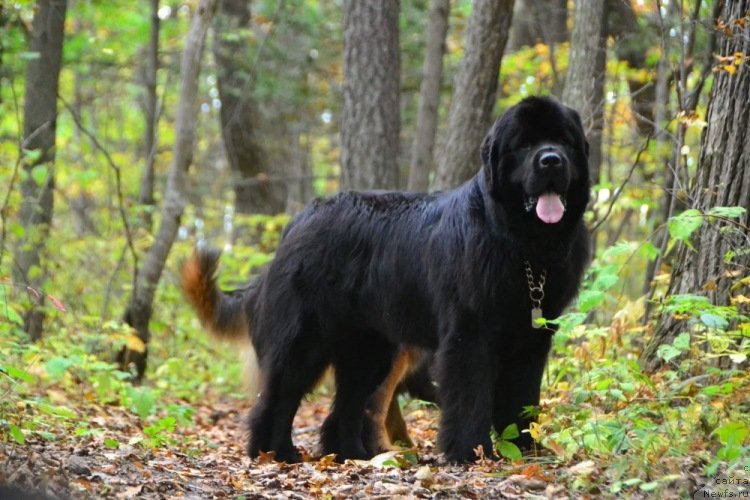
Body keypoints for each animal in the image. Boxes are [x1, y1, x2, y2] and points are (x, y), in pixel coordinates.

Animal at [184, 95, 592, 462]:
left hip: (369, 347)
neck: (522, 246)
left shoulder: (531, 337)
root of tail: (299, 220)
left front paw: (526, 452)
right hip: (308, 338)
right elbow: (470, 397)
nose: (551, 159)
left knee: (347, 404)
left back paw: (350, 454)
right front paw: (471, 453)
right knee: (280, 395)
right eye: (524, 144)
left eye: (563, 140)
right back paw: (275, 453)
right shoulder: (469, 333)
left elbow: (522, 399)